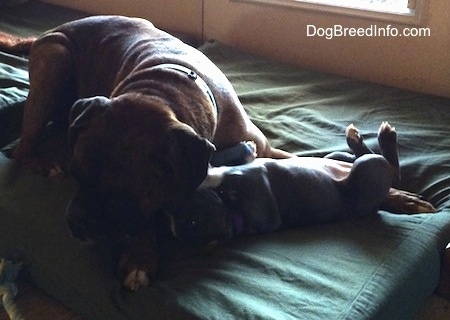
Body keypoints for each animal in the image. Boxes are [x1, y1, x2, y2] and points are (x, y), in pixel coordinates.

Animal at [167, 124, 434, 244]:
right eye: (190, 222)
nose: (169, 206)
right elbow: (220, 173)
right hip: (367, 168)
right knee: (392, 171)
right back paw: (383, 137)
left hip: (337, 157)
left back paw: (357, 140)